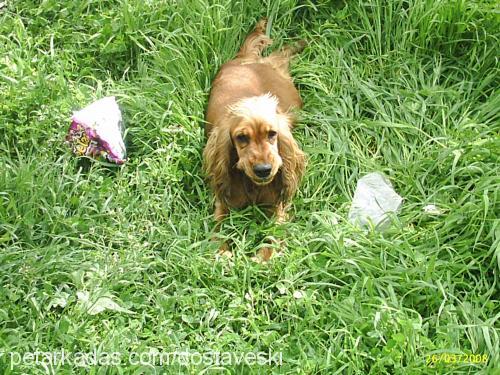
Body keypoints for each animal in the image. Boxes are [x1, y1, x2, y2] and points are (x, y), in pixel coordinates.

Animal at [202, 19, 304, 262]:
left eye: (272, 134)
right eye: (241, 138)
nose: (264, 170)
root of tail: (245, 60)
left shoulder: (278, 205)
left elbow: (274, 231)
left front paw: (264, 256)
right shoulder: (222, 201)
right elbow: (218, 227)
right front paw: (223, 253)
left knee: (279, 56)